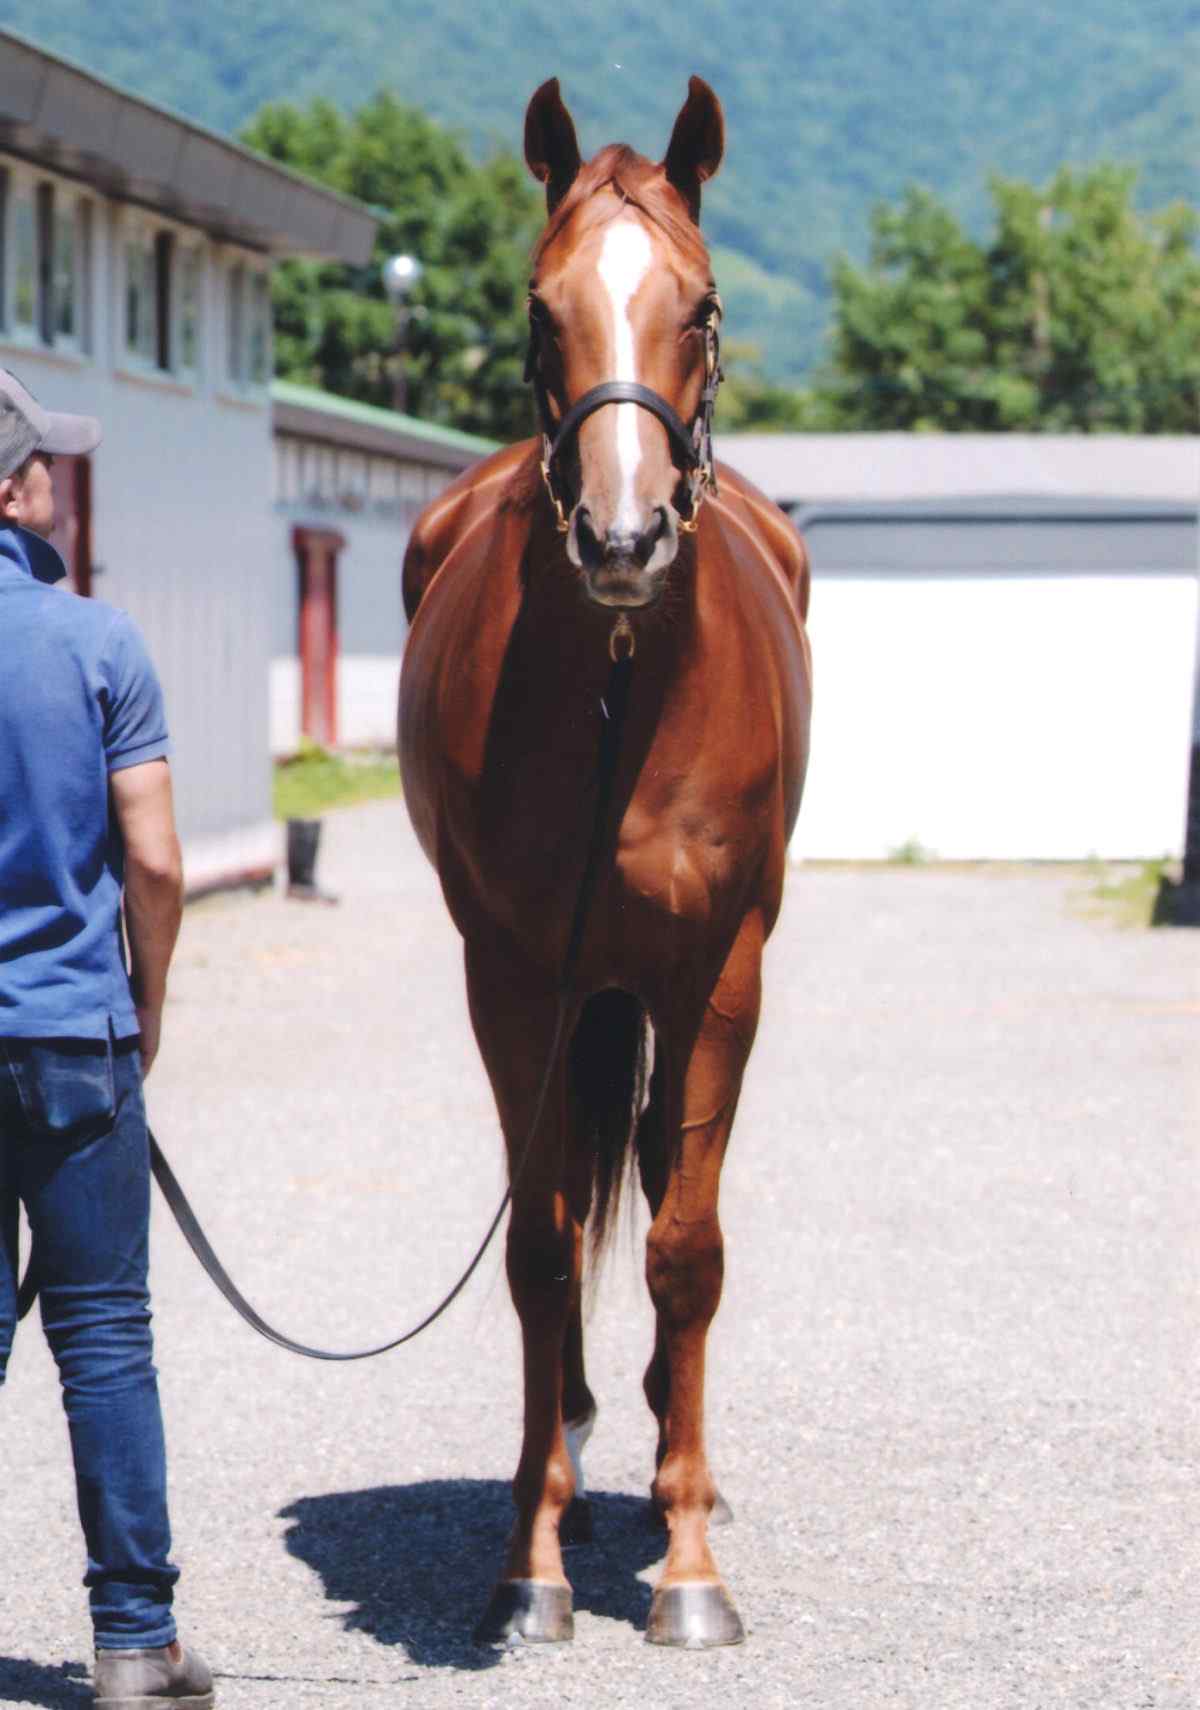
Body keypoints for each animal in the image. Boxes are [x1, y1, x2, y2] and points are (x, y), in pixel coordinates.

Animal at [400, 73, 813, 1648]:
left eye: (700, 306)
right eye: (538, 306)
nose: (622, 537)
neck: (626, 688)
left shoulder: (718, 975)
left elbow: (684, 1250)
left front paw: (689, 1568)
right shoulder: (516, 977)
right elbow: (536, 1244)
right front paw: (532, 1562)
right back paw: (572, 1441)